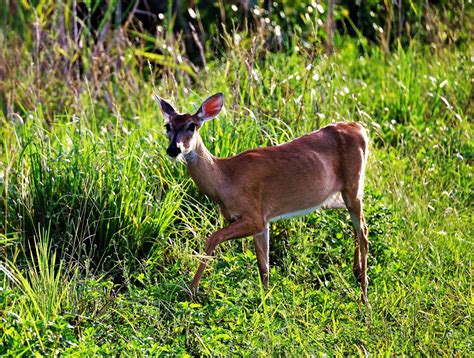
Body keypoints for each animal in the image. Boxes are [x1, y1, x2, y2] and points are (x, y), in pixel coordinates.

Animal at [159, 92, 370, 302]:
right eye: (168, 126)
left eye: (192, 126)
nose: (173, 149)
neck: (225, 179)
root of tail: (359, 128)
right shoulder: (262, 222)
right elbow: (264, 267)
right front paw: (266, 299)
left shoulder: (254, 216)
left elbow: (213, 237)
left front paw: (191, 289)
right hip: (337, 198)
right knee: (356, 226)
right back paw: (356, 272)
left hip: (353, 186)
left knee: (364, 233)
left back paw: (364, 295)